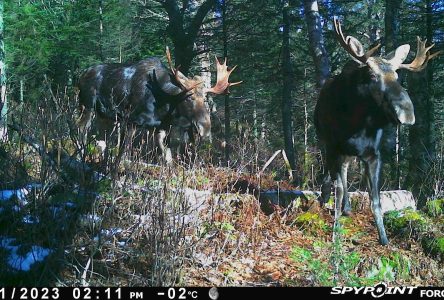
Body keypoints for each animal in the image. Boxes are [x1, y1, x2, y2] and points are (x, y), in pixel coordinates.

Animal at [316, 17, 440, 245]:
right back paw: (326, 197)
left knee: (345, 171)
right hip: (326, 144)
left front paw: (384, 238)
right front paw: (335, 232)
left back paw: (348, 208)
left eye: (397, 76)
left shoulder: (374, 155)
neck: (356, 125)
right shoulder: (334, 147)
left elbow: (376, 199)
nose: (407, 112)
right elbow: (338, 191)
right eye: (372, 76)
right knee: (332, 176)